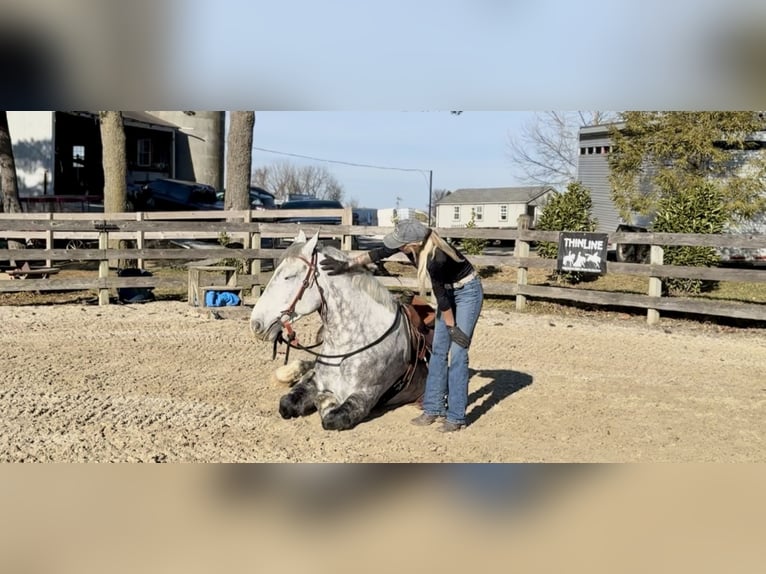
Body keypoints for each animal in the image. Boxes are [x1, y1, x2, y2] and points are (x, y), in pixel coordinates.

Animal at [249, 231, 431, 430]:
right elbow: (287, 403)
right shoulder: (316, 379)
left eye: (289, 276)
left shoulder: (365, 397)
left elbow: (329, 415)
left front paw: (326, 399)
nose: (255, 324)